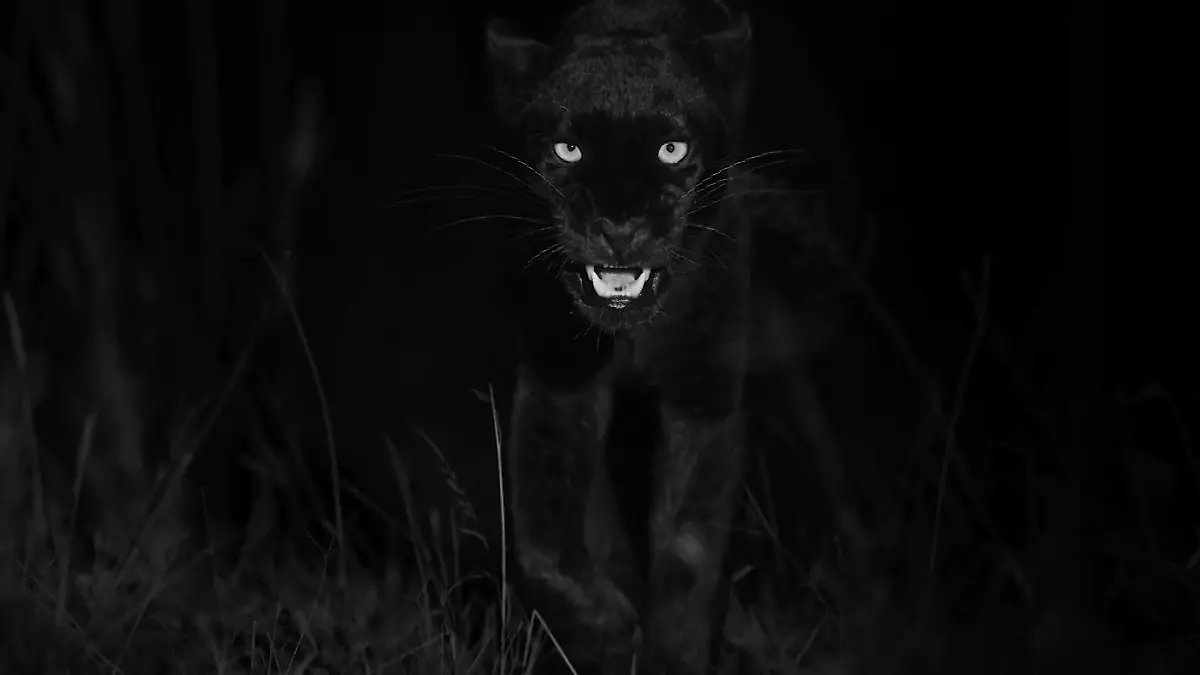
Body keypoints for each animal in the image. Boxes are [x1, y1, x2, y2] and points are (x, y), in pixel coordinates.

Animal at [484, 1, 866, 672]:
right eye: (568, 148)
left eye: (670, 149)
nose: (619, 227)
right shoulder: (559, 380)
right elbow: (543, 538)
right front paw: (607, 631)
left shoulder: (703, 390)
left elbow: (689, 550)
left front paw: (671, 651)